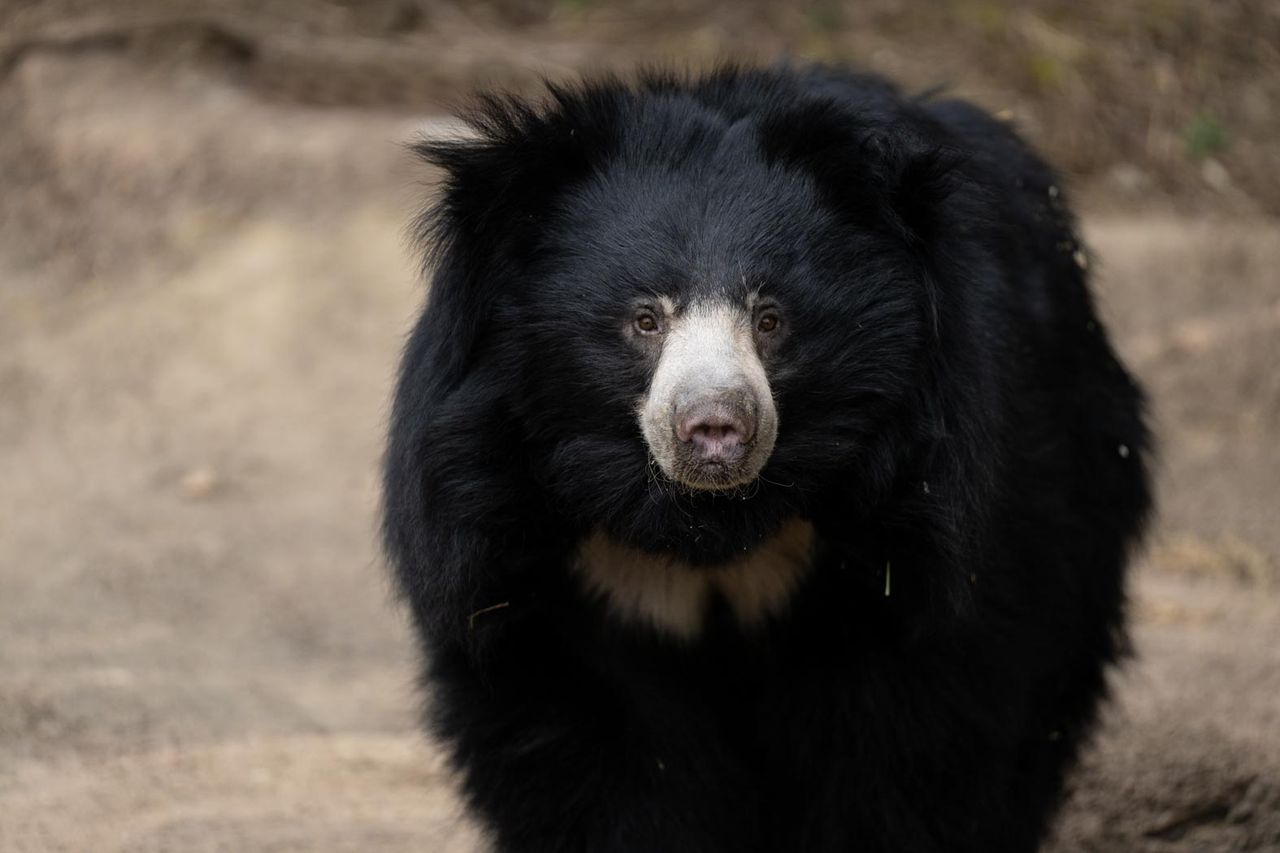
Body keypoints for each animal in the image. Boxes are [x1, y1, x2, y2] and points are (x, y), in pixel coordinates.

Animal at [378, 66, 1152, 850]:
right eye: (645, 318)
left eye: (771, 318)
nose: (715, 427)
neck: (705, 523)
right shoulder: (521, 541)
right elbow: (597, 754)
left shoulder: (911, 528)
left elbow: (907, 745)